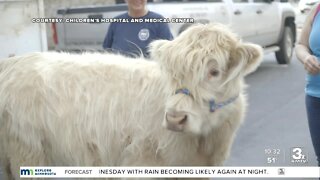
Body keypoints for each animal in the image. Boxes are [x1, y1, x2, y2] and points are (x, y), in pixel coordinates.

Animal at [0, 24, 260, 180]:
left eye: (214, 72)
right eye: (171, 72)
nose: (175, 118)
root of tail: (14, 62)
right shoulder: (141, 163)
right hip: (27, 151)